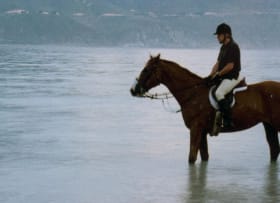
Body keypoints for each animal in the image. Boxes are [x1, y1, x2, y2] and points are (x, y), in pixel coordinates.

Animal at [130, 54, 280, 163]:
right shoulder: (201, 132)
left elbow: (191, 158)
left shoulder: (196, 129)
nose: (133, 90)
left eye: (146, 70)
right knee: (274, 150)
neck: (193, 93)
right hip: (269, 125)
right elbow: (204, 157)